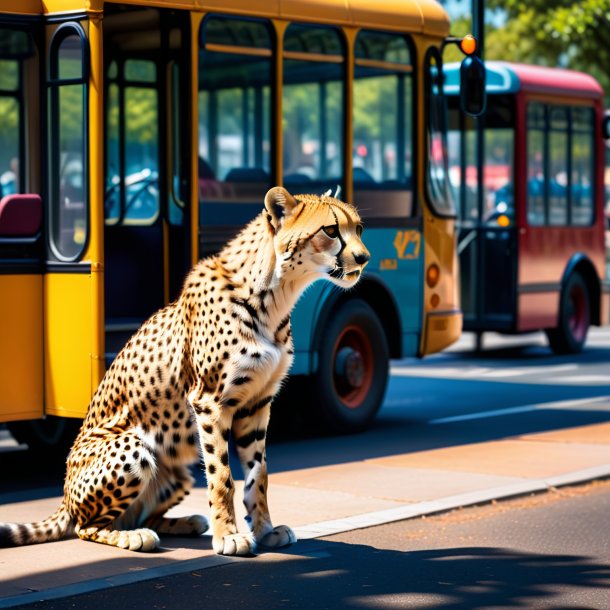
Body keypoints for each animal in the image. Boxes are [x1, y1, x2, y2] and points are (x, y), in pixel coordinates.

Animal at [0, 186, 368, 556]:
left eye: (359, 228)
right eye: (330, 230)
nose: (364, 258)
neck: (275, 292)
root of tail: (63, 496)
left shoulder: (256, 404)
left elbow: (258, 474)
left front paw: (264, 529)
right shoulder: (210, 401)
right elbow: (222, 476)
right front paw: (229, 536)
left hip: (176, 468)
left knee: (134, 515)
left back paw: (186, 522)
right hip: (135, 446)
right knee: (87, 526)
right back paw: (135, 537)